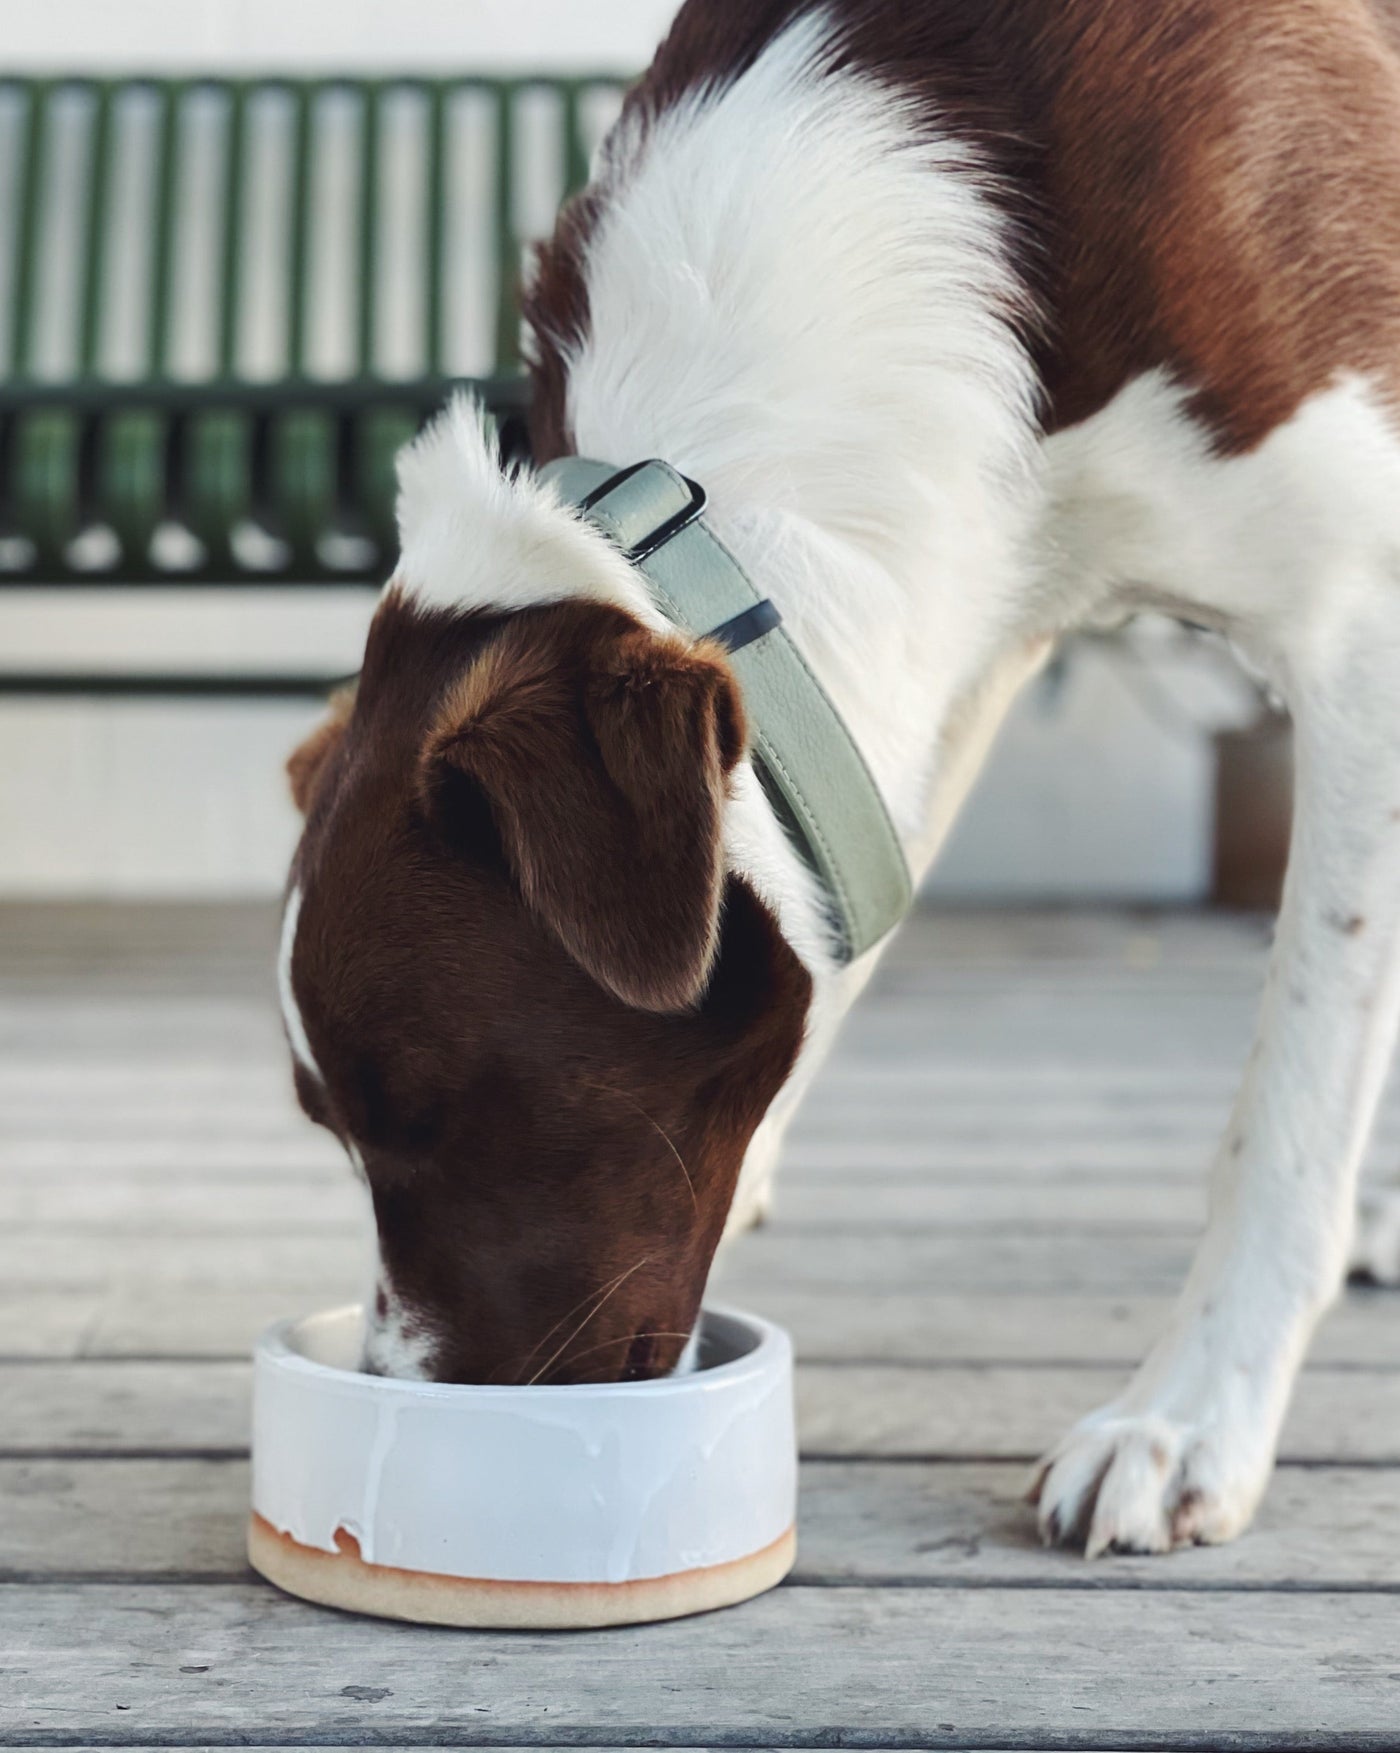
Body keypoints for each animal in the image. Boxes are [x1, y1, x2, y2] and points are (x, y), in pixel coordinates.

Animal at [278, 3, 1400, 1563]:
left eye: (433, 1111)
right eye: (333, 1126)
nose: (408, 1391)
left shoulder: (1362, 623)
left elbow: (1294, 1086)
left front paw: (1185, 1419)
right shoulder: (988, 590)